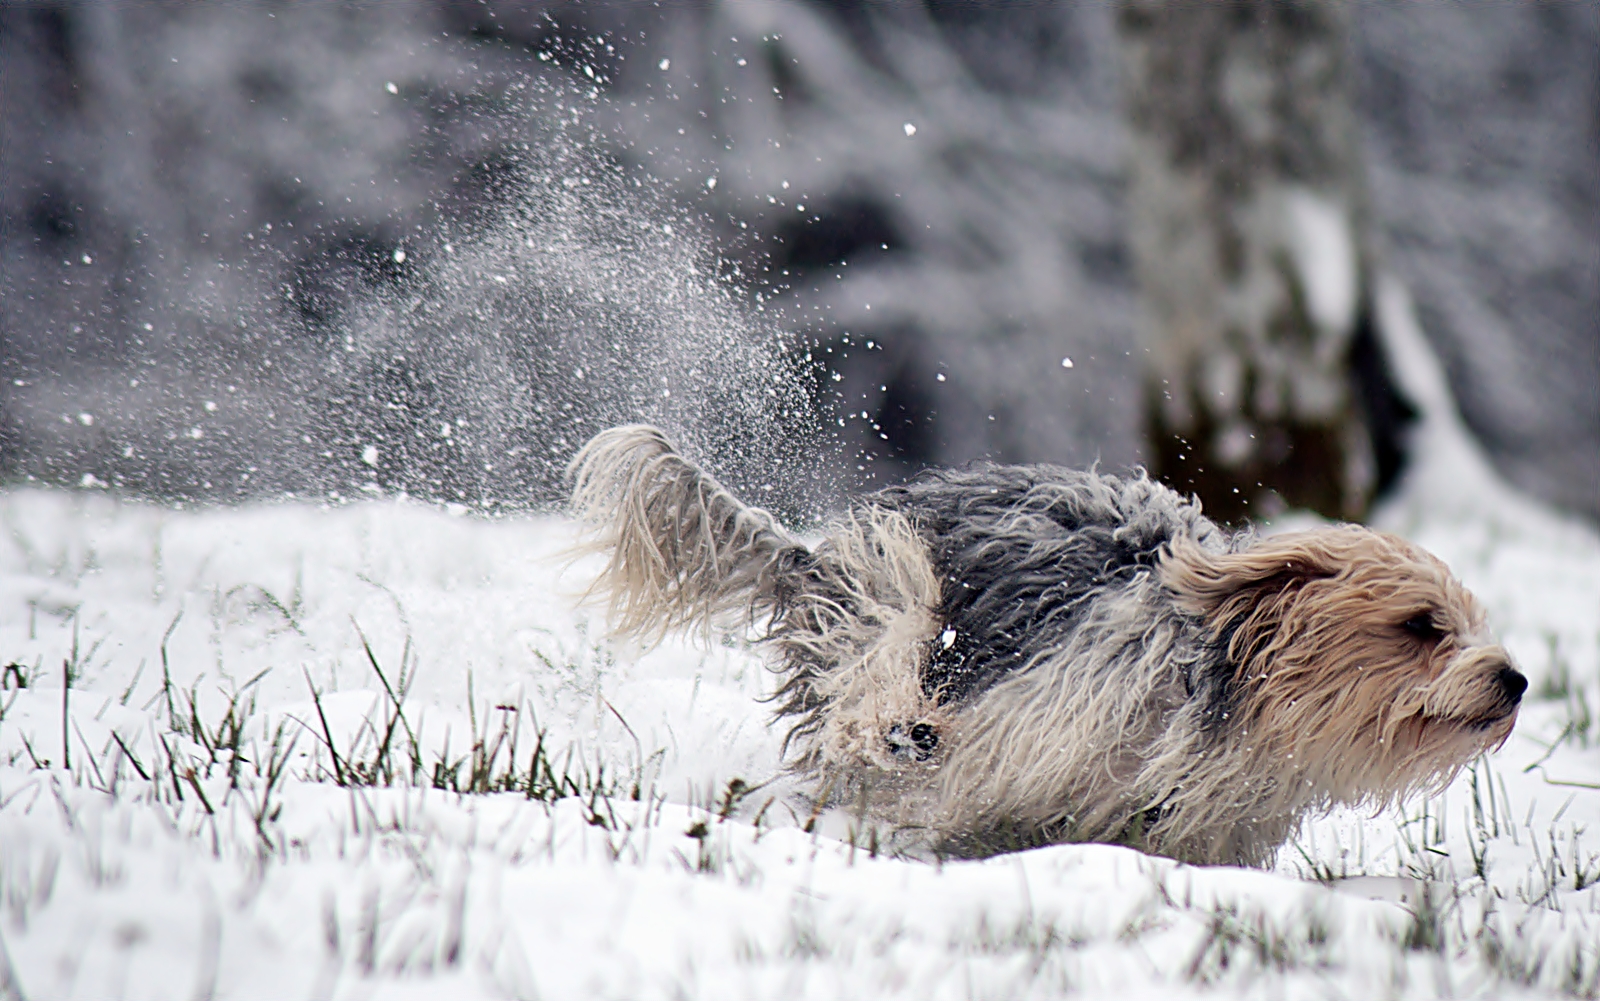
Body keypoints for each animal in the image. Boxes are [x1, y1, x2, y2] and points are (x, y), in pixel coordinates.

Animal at [566, 425, 1523, 863]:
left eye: (1472, 624)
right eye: (1421, 625)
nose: (1513, 680)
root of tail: (810, 558)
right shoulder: (1032, 724)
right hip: (891, 581)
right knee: (882, 662)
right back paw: (898, 722)